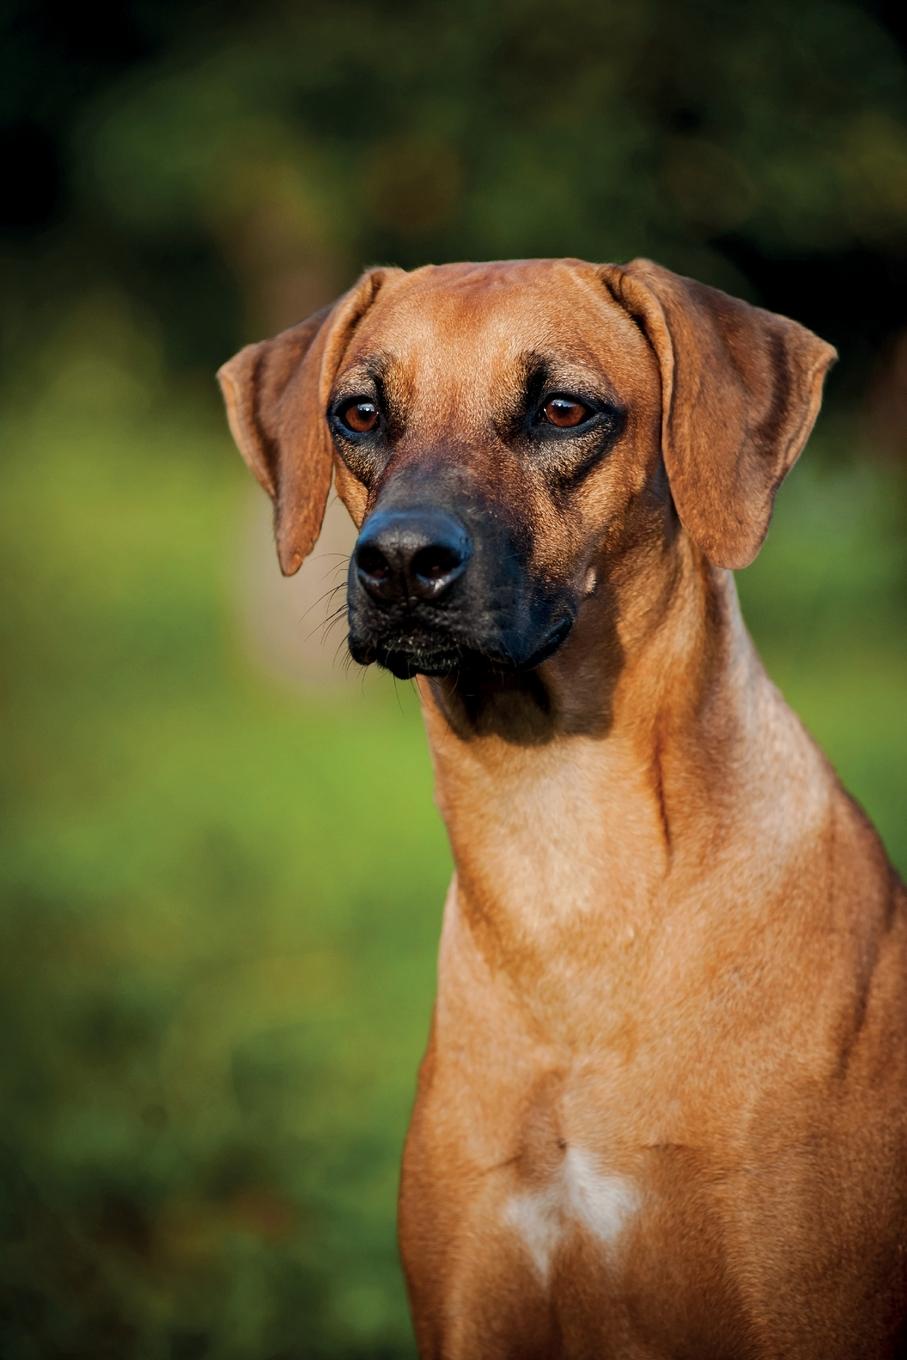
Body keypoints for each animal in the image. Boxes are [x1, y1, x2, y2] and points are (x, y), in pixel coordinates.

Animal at [220, 259, 907, 1354]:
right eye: (359, 413)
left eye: (562, 408)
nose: (398, 560)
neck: (562, 863)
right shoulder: (470, 1303)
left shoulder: (800, 1310)